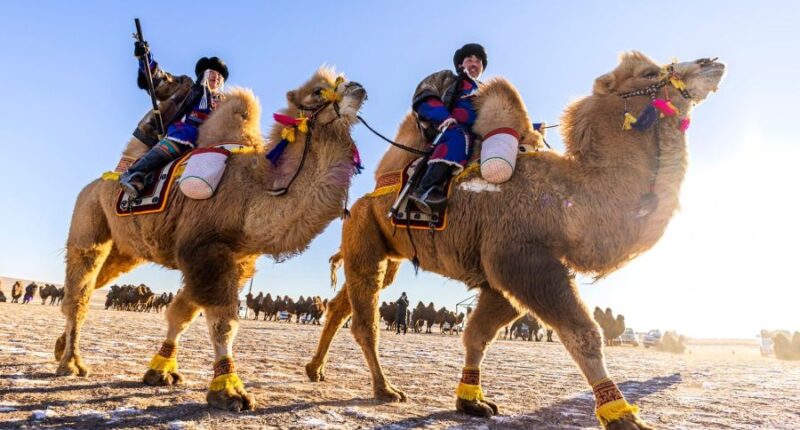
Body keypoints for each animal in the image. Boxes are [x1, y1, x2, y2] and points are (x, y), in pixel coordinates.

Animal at [54, 68, 368, 414]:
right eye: (317, 91)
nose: (358, 88)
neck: (254, 191)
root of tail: (94, 185)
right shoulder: (204, 250)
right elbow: (222, 322)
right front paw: (229, 391)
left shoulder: (235, 258)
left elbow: (182, 314)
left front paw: (160, 371)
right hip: (89, 222)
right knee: (80, 291)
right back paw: (71, 364)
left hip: (124, 250)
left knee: (87, 286)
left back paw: (60, 347)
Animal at [304, 52, 724, 428]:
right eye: (649, 72)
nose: (712, 62)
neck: (571, 196)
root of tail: (364, 198)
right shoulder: (522, 261)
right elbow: (584, 334)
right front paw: (623, 417)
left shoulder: (502, 279)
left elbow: (478, 335)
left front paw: (471, 401)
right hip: (365, 235)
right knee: (365, 322)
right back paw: (384, 389)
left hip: (385, 252)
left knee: (342, 304)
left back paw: (315, 369)